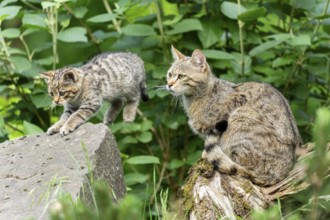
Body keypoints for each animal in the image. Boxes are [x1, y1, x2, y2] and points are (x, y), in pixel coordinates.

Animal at [166, 46, 302, 186]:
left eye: (181, 76)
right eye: (169, 74)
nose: (169, 84)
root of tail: (280, 174)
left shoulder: (234, 106)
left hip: (241, 116)